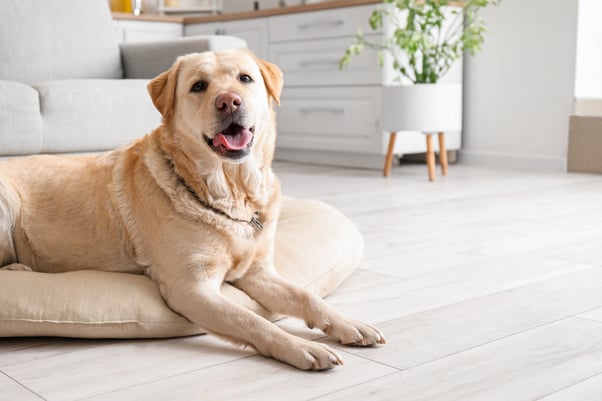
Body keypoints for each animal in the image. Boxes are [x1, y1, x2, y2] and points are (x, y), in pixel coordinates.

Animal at [0, 49, 384, 368]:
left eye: (245, 79)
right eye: (199, 86)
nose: (229, 102)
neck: (231, 191)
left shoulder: (258, 272)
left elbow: (307, 297)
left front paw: (349, 324)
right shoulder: (191, 289)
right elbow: (252, 319)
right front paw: (300, 347)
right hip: (6, 202)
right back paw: (20, 269)